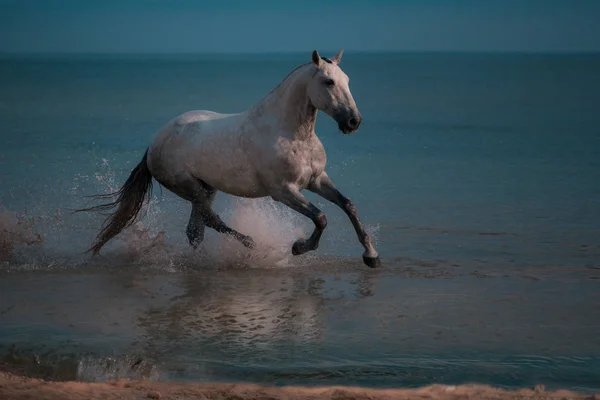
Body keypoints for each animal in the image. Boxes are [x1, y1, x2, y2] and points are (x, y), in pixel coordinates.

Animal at [78, 50, 380, 268]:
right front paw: (298, 247)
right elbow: (321, 217)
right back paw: (250, 245)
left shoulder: (316, 180)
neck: (289, 132)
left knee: (197, 229)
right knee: (210, 221)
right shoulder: (284, 191)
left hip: (206, 188)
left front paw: (371, 255)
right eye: (328, 81)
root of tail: (154, 143)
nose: (354, 122)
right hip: (191, 188)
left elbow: (348, 205)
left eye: (347, 81)